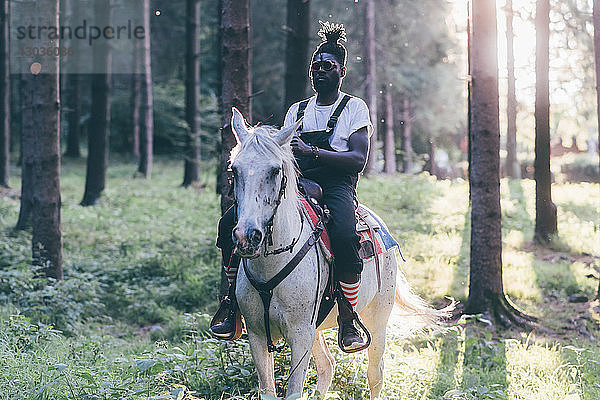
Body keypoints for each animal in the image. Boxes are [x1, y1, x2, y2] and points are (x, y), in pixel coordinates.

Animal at [229, 108, 450, 398]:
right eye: (234, 170)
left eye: (275, 170)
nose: (247, 236)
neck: (273, 263)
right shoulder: (257, 335)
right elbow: (268, 390)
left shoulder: (300, 334)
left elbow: (294, 391)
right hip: (317, 330)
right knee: (327, 366)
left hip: (377, 321)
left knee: (375, 375)